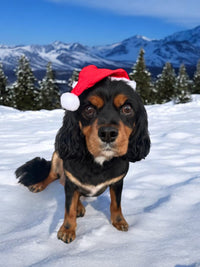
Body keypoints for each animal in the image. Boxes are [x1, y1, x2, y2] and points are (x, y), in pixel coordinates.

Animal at [15, 70, 150, 244]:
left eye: (127, 109)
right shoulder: (71, 182)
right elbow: (69, 208)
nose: (108, 133)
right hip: (57, 155)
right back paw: (40, 186)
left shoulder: (118, 181)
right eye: (89, 109)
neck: (98, 161)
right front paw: (67, 230)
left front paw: (119, 222)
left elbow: (116, 204)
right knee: (54, 176)